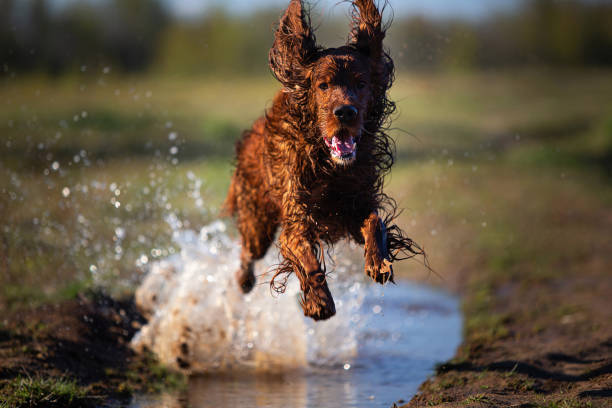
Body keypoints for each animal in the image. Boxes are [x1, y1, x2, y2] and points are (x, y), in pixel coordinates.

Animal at [224, 0, 420, 322]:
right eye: (324, 85)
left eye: (361, 83)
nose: (346, 112)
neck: (330, 167)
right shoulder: (296, 217)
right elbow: (306, 257)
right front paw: (318, 300)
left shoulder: (355, 203)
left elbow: (375, 221)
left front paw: (378, 261)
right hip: (258, 222)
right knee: (247, 253)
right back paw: (244, 280)